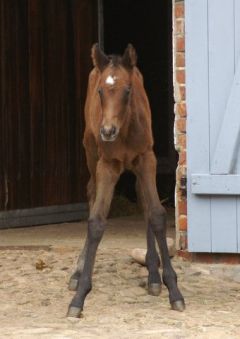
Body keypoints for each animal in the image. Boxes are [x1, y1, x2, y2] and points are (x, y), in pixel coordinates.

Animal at [66, 43, 185, 318]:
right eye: (100, 90)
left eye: (128, 90)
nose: (107, 131)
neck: (126, 129)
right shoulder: (107, 164)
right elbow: (96, 221)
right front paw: (79, 297)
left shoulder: (147, 159)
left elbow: (156, 215)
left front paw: (173, 289)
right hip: (91, 151)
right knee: (91, 191)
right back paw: (77, 271)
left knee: (143, 202)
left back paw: (153, 276)